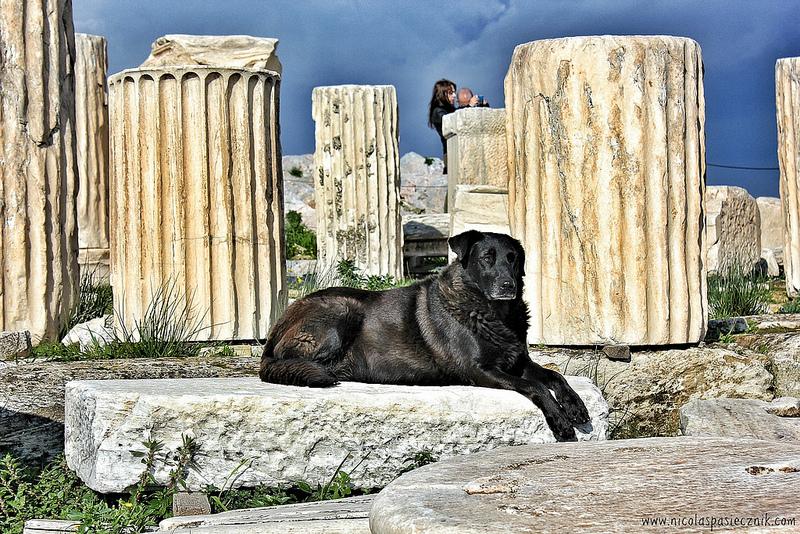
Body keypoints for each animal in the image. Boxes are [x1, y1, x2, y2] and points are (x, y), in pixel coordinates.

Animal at [260, 231, 592, 444]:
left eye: (513, 259)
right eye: (487, 257)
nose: (509, 285)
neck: (492, 312)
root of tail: (279, 323)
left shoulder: (517, 362)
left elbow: (555, 376)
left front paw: (576, 407)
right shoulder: (481, 370)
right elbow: (536, 386)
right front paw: (561, 421)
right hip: (341, 309)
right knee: (299, 360)